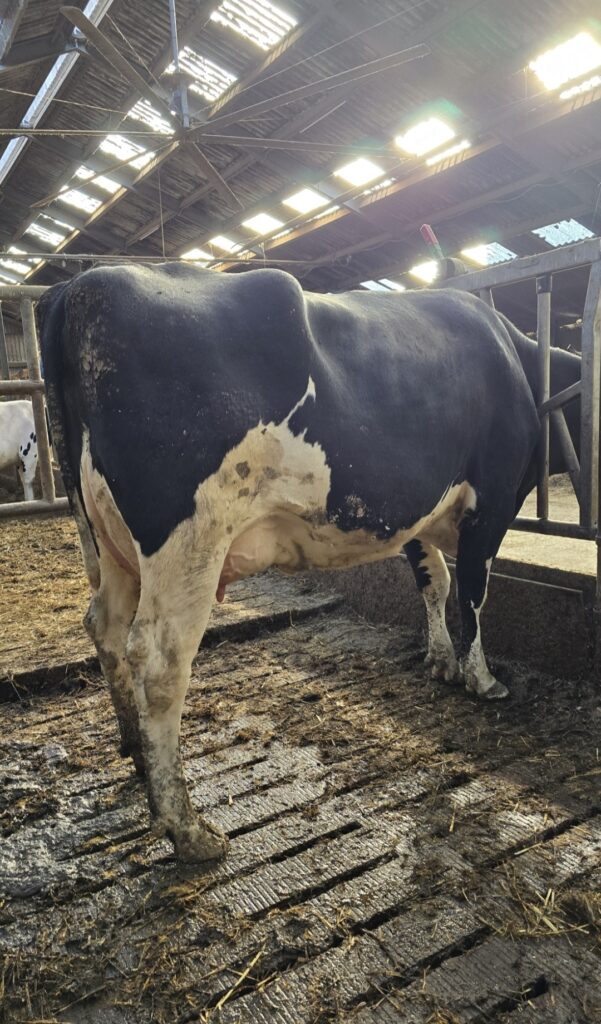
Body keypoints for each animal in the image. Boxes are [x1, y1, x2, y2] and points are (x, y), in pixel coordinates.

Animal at [37, 263, 581, 863]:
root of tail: (82, 285)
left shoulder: (415, 512)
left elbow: (434, 583)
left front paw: (440, 660)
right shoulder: (493, 496)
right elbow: (472, 590)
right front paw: (480, 678)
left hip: (110, 546)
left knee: (104, 627)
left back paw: (136, 755)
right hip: (187, 540)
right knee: (158, 661)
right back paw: (188, 829)